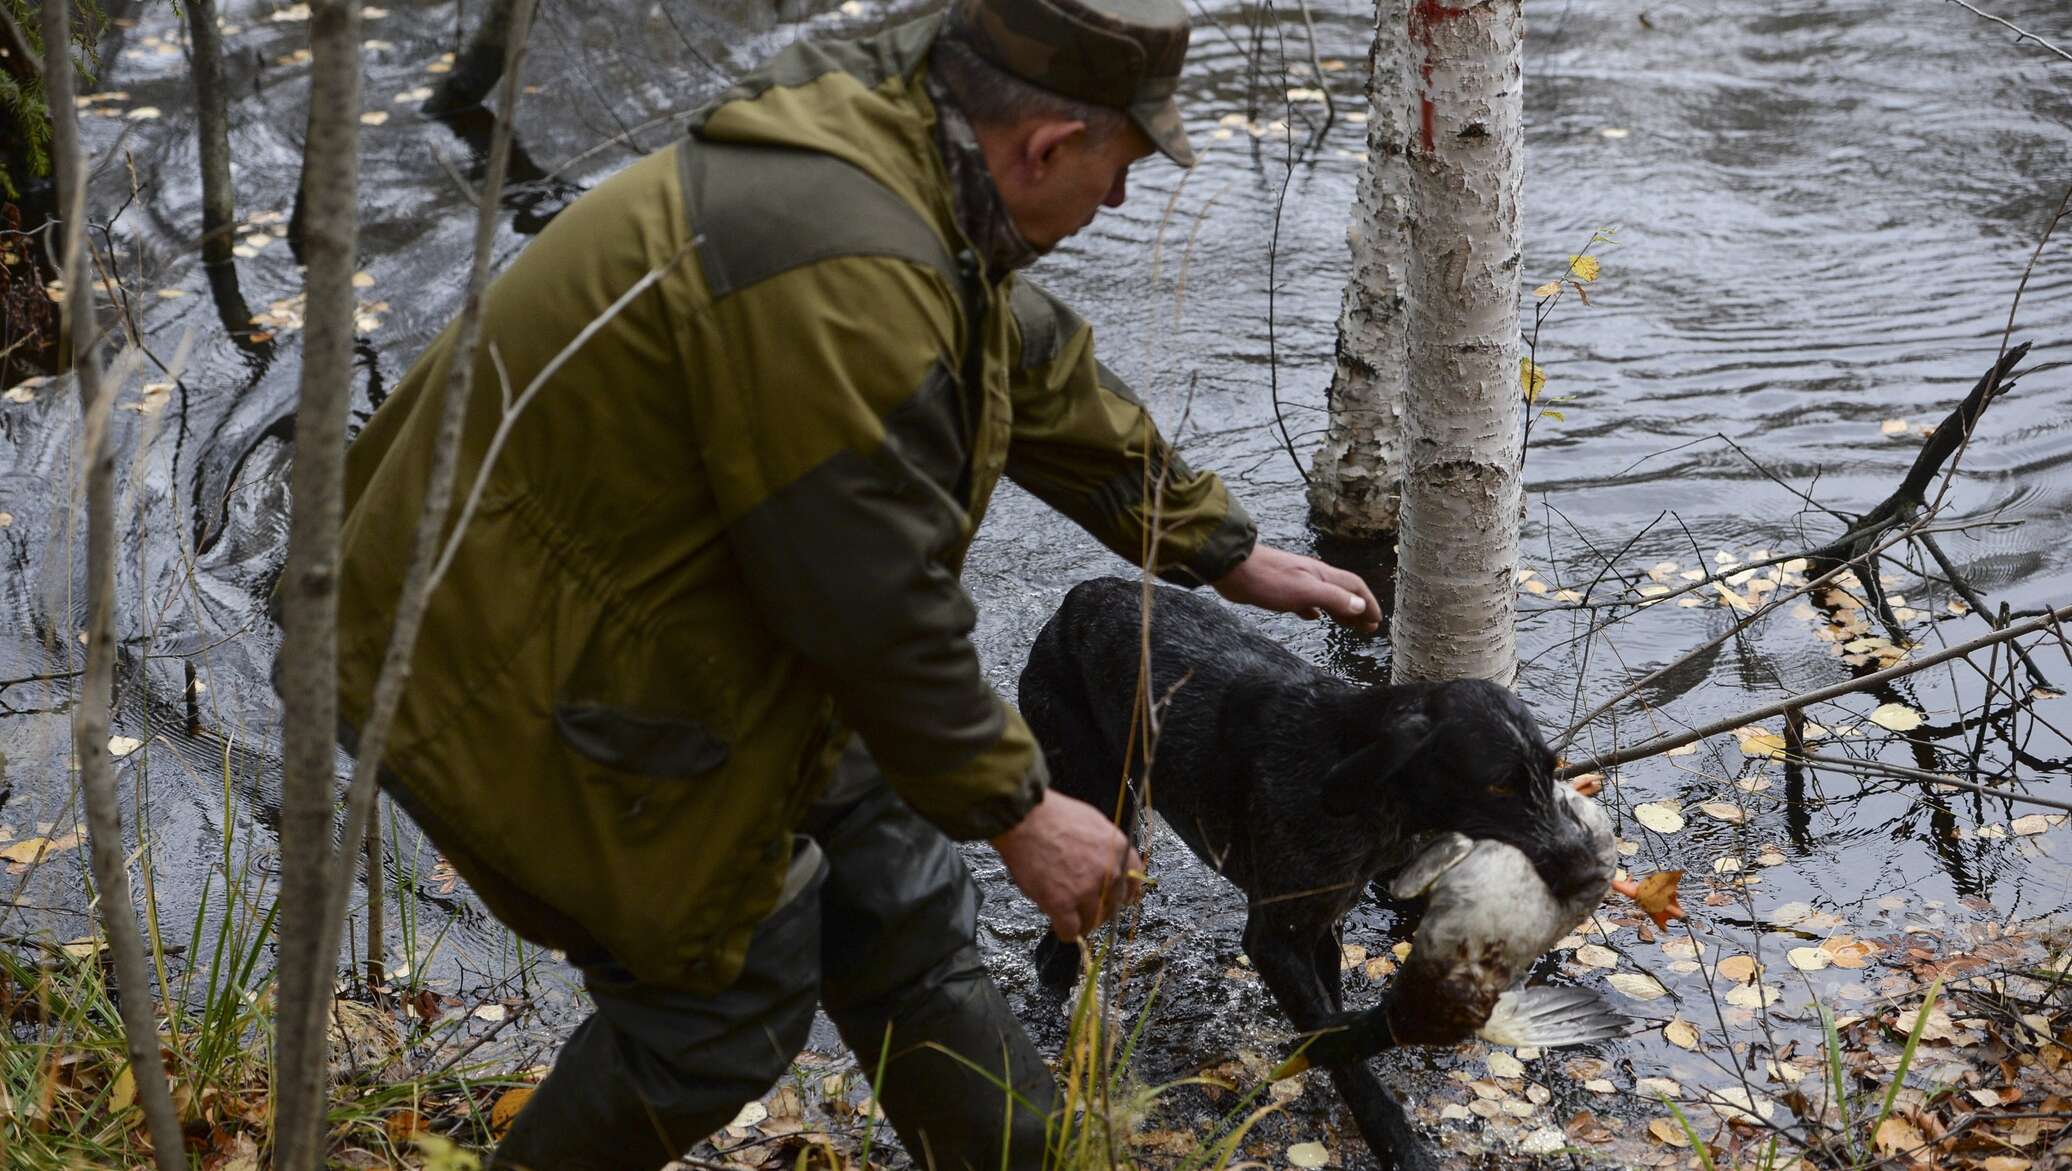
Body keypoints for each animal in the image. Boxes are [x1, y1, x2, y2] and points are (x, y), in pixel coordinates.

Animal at [1019, 576, 1616, 1168]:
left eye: (1552, 770)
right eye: (1497, 784)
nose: (1588, 869)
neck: (1354, 780)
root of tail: (1082, 596)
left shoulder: (1323, 923)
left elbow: (1333, 1022)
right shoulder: (1275, 940)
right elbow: (1344, 1058)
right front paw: (1397, 1143)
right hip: (1101, 806)